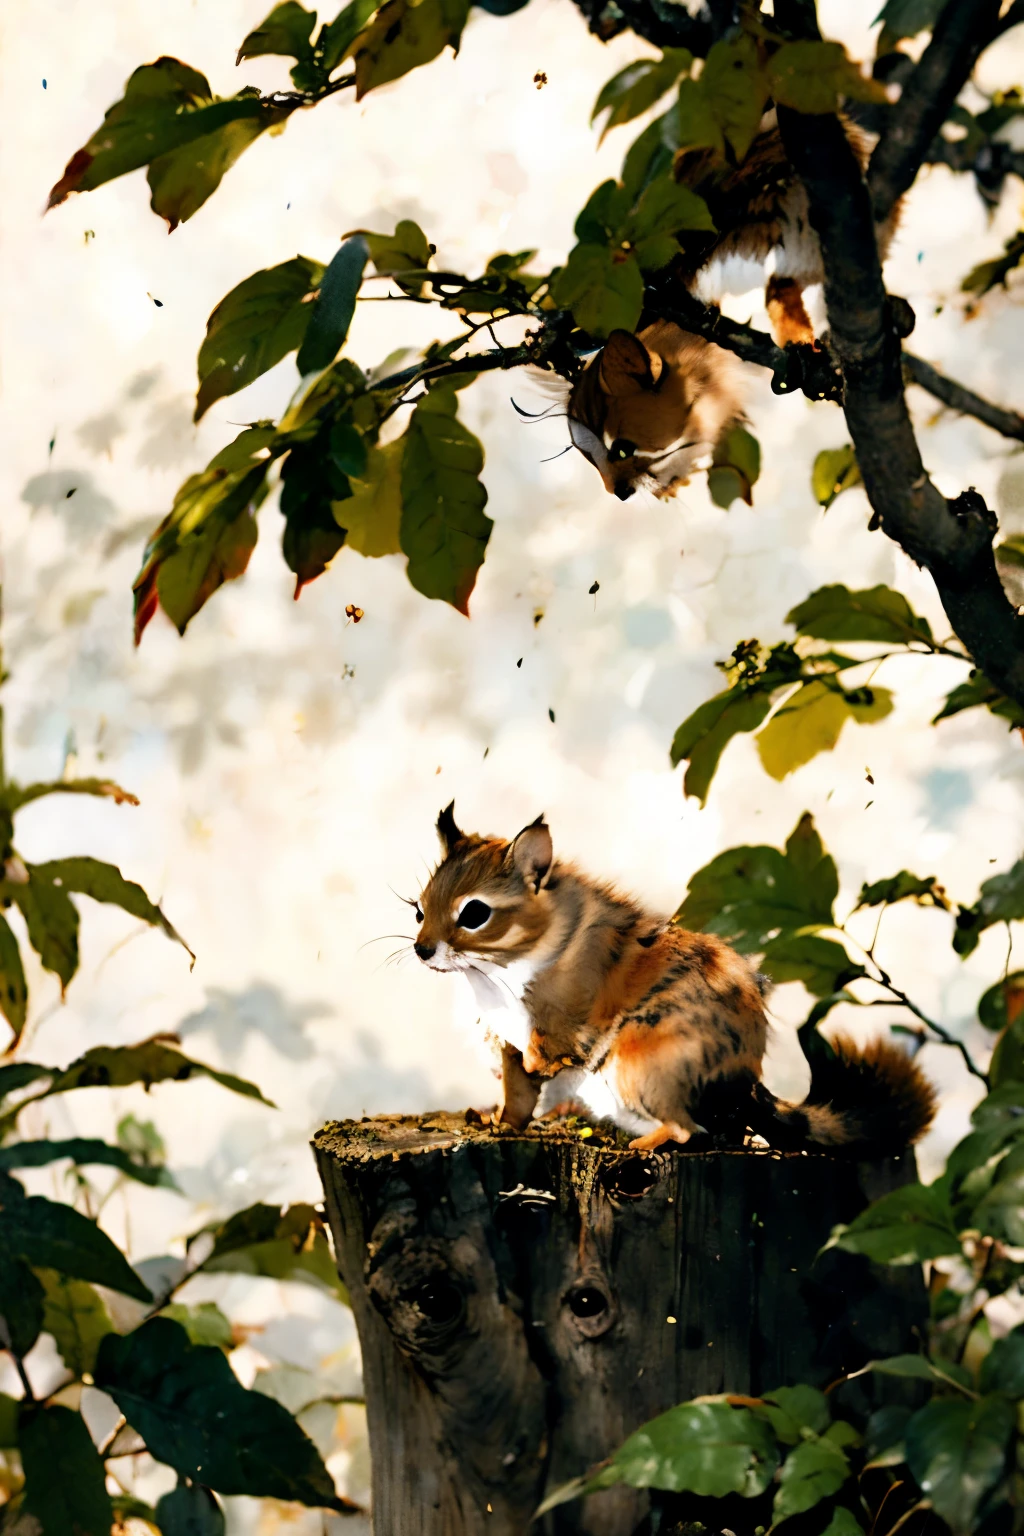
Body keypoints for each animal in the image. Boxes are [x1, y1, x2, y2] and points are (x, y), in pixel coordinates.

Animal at [411, 804, 939, 1155]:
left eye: (475, 913)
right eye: (418, 908)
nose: (422, 949)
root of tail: (746, 1084)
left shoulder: (554, 1025)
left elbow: (544, 1061)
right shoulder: (508, 1042)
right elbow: (517, 1096)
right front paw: (498, 1123)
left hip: (639, 1064)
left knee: (689, 1130)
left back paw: (642, 1144)